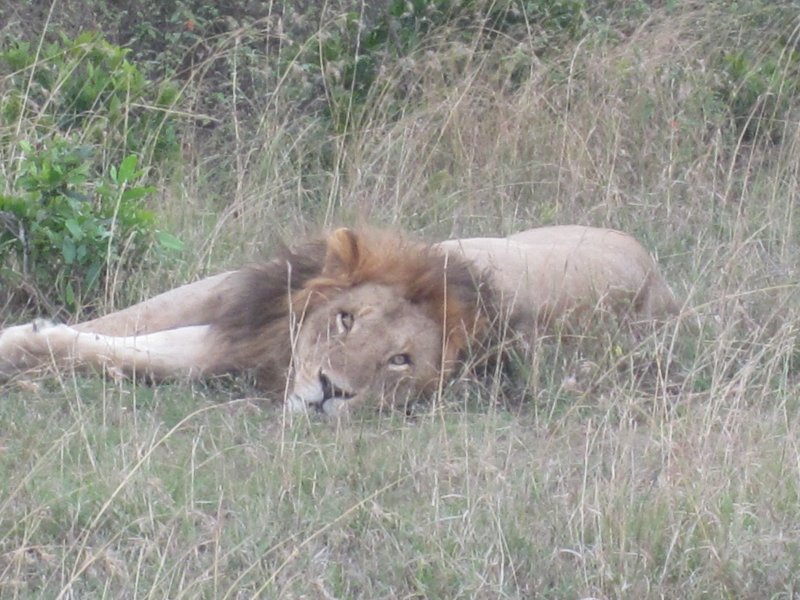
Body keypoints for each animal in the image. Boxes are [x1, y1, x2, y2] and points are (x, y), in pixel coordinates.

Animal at [0, 225, 678, 415]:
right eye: (347, 320)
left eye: (400, 361)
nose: (330, 392)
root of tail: (662, 285)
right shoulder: (240, 298)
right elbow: (134, 316)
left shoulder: (244, 348)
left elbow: (134, 353)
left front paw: (28, 347)